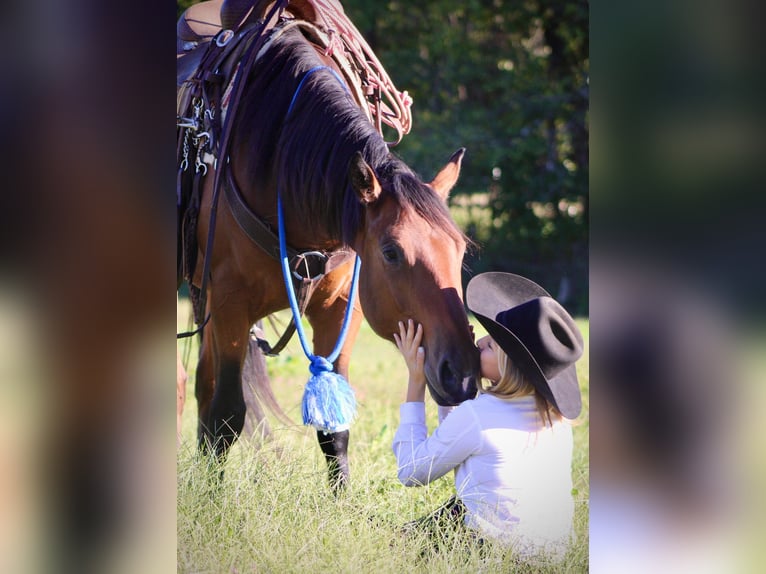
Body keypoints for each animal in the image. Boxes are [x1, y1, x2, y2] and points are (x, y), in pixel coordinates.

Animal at [178, 1, 480, 487]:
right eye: (391, 253)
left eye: (460, 252)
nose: (463, 374)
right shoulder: (229, 303)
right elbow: (226, 413)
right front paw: (210, 498)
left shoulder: (341, 309)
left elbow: (333, 429)